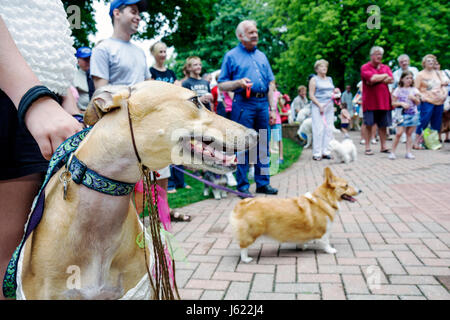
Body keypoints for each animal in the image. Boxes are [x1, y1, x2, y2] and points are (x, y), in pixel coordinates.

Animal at [230, 168, 360, 262]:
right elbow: (326, 242)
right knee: (243, 246)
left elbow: (302, 239)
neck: (324, 199)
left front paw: (302, 246)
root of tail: (242, 204)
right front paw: (330, 250)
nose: (360, 190)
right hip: (253, 231)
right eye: (346, 186)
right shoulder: (323, 231)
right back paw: (246, 259)